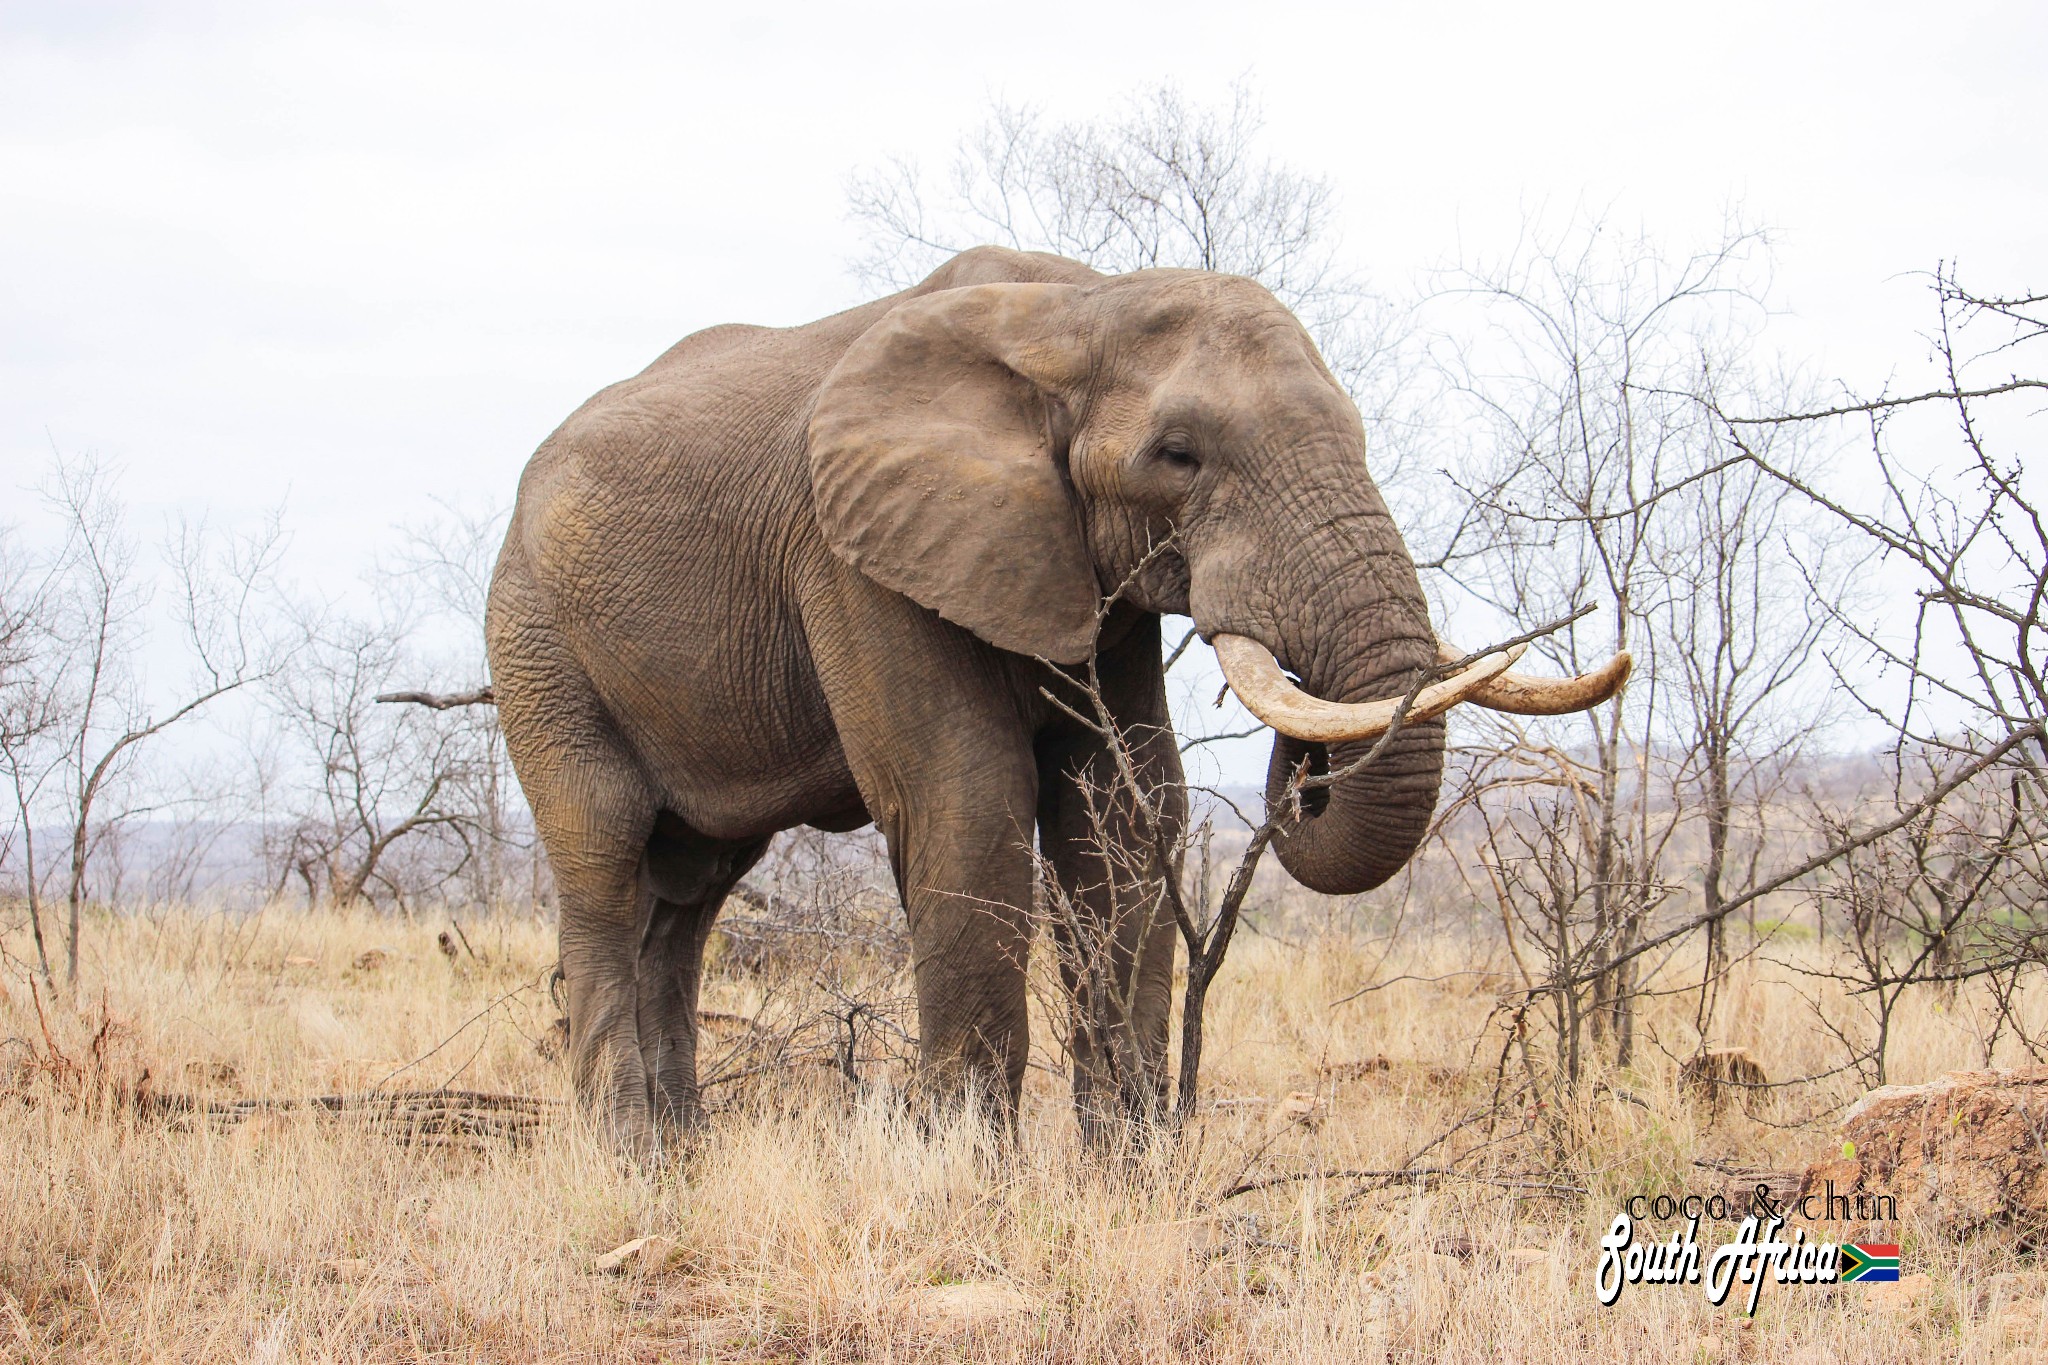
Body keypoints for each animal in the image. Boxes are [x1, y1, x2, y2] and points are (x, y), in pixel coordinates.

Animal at [483, 248, 1630, 1162]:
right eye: (1179, 454)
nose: (1302, 772)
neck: (1075, 307)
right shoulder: (856, 555)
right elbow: (966, 798)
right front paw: (973, 1175)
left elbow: (1124, 807)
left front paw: (1126, 1170)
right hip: (536, 639)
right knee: (604, 855)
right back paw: (628, 1161)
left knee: (687, 890)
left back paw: (684, 1161)